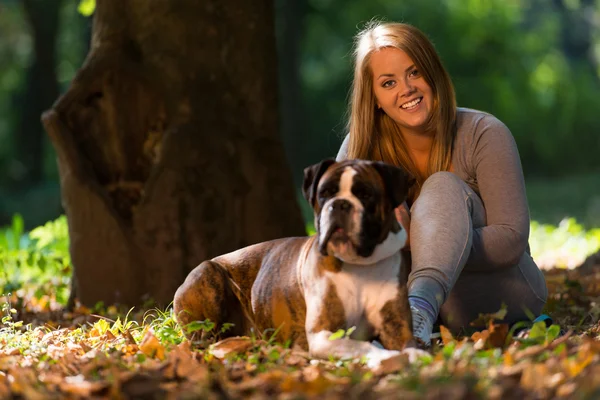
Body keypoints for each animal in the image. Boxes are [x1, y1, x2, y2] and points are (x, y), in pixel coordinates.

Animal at [172, 159, 418, 366]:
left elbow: (413, 348)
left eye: (365, 194)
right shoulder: (324, 334)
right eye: (324, 194)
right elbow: (364, 347)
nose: (339, 204)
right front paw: (386, 358)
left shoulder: (399, 330)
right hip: (207, 273)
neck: (360, 266)